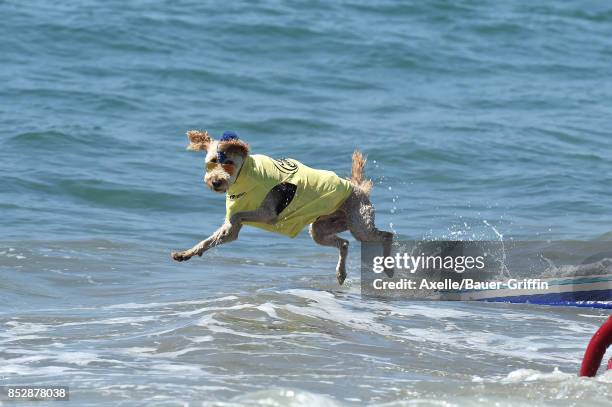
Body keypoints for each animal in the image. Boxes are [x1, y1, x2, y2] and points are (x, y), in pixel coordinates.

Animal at [172, 129, 392, 286]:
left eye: (229, 163)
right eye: (211, 162)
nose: (215, 182)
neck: (244, 176)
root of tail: (359, 188)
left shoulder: (267, 213)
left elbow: (236, 217)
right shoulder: (234, 229)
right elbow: (210, 239)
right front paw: (186, 253)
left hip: (359, 223)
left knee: (386, 235)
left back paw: (388, 267)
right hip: (321, 228)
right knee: (344, 243)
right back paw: (340, 273)